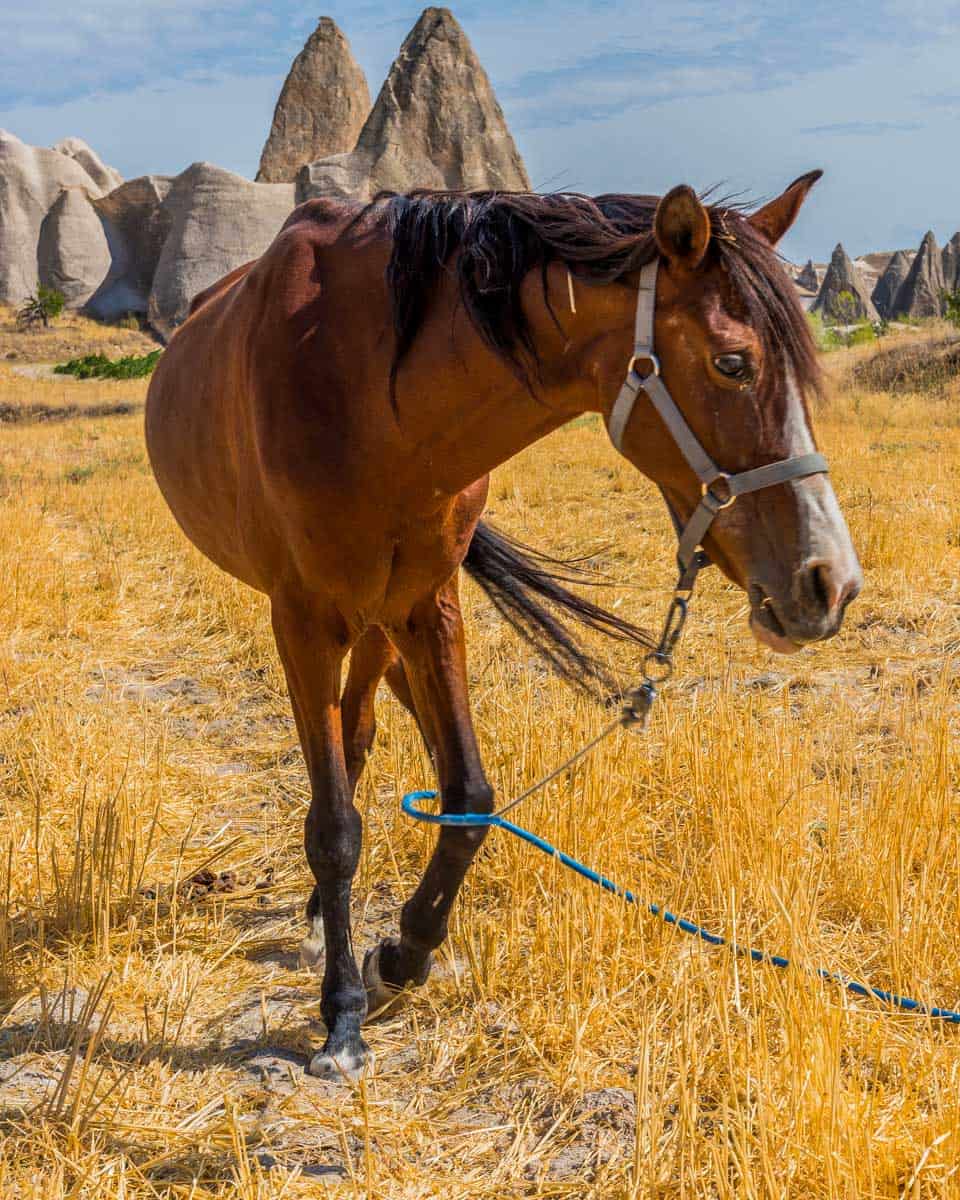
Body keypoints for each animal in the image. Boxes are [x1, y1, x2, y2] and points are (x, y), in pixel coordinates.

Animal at [145, 171, 861, 1079]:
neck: (366, 388)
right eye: (734, 362)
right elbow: (335, 824)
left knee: (363, 730)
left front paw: (402, 953)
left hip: (379, 623)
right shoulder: (301, 619)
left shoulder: (427, 605)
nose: (829, 582)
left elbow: (469, 798)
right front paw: (341, 1016)